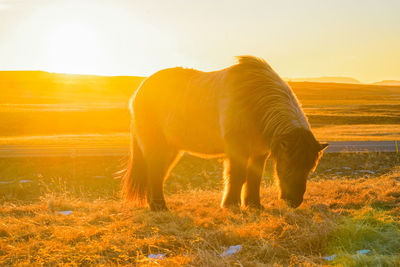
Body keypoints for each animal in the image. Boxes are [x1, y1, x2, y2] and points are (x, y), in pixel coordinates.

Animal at [122, 56, 328, 211]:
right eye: (289, 166)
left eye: (309, 168)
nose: (294, 202)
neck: (253, 100)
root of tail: (139, 91)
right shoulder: (238, 149)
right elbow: (237, 175)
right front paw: (231, 204)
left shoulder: (259, 152)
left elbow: (255, 177)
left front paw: (253, 205)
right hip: (155, 145)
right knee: (154, 172)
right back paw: (159, 206)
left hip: (172, 149)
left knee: (158, 173)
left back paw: (155, 204)